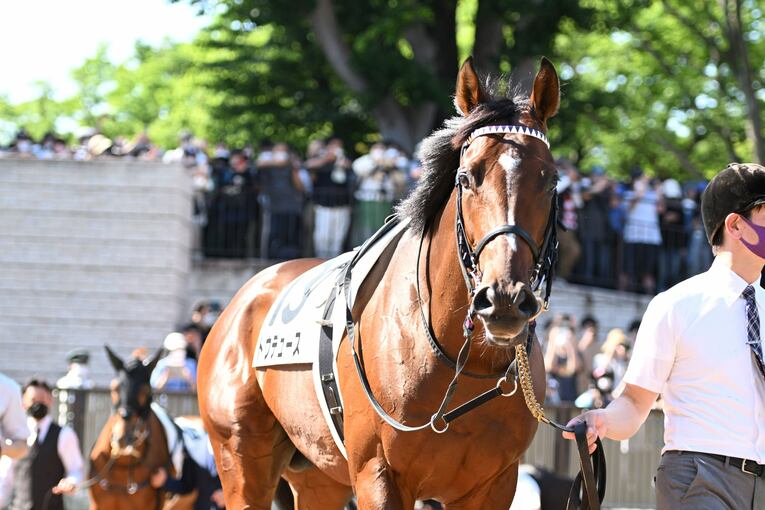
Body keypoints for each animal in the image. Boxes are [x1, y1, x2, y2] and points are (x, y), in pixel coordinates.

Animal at [198, 57, 562, 509]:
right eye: (466, 177)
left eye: (550, 180)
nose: (504, 299)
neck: (460, 363)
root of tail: (240, 301)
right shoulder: (379, 475)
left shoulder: (494, 485)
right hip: (240, 460)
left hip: (318, 476)